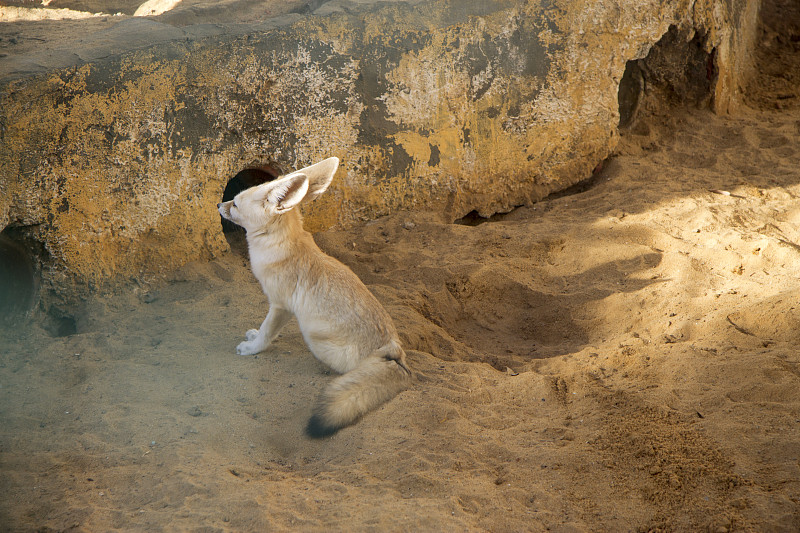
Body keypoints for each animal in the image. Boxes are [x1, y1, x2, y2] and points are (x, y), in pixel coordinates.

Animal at [216, 156, 410, 434]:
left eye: (235, 203)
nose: (218, 204)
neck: (279, 245)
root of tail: (395, 352)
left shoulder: (280, 305)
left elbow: (267, 332)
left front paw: (253, 348)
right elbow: (263, 328)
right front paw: (253, 335)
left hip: (314, 337)